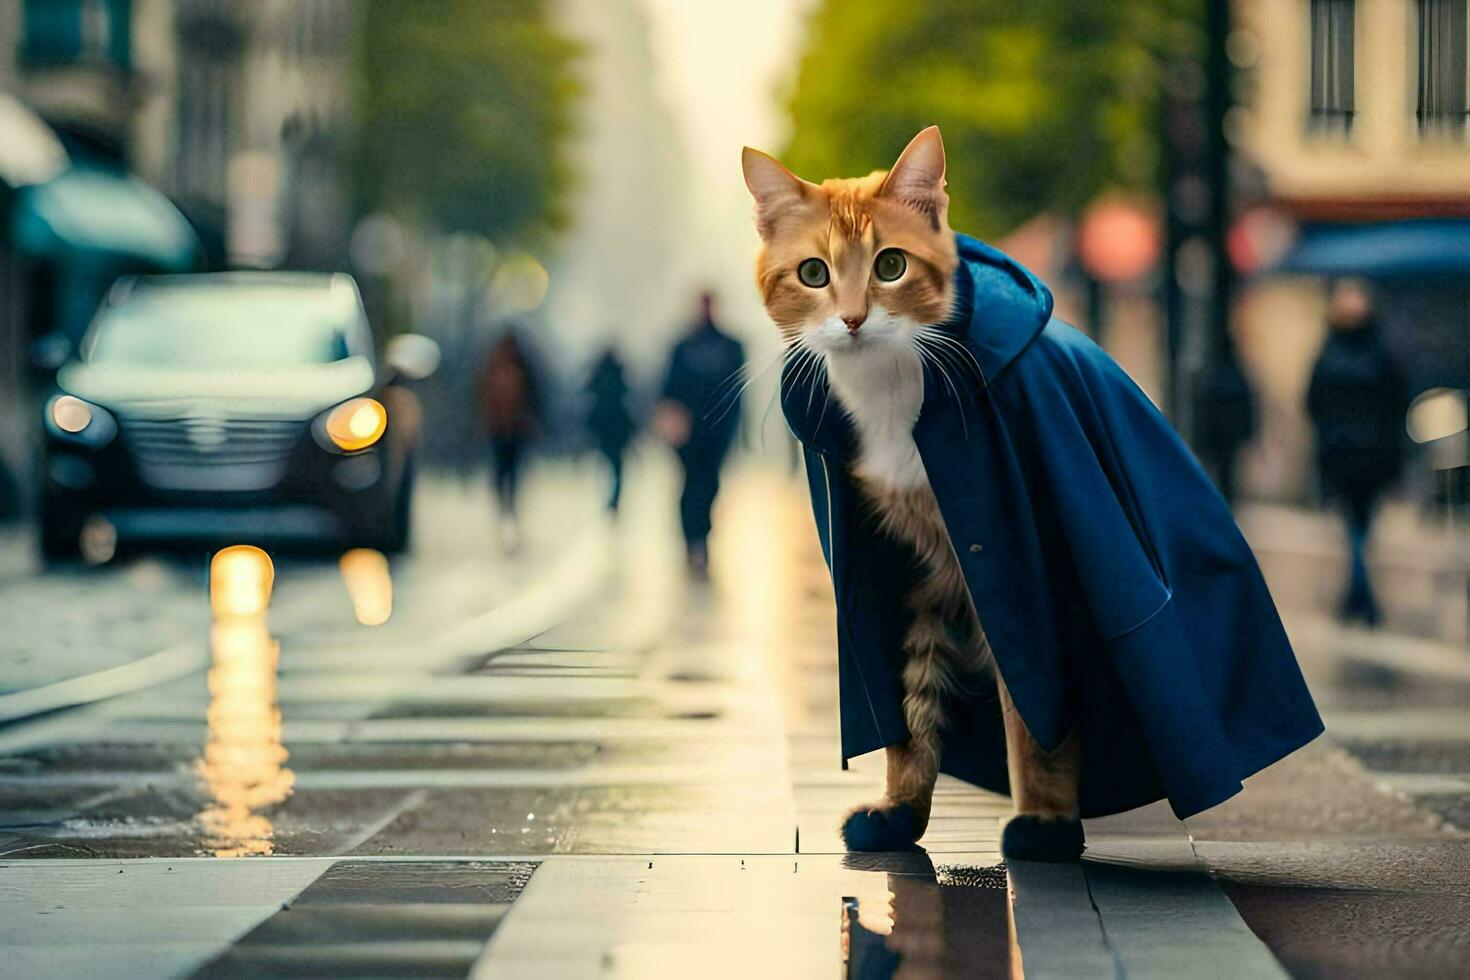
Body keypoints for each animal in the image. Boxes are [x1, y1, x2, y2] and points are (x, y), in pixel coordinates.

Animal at [746, 128, 1081, 852]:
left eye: (891, 265)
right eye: (813, 274)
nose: (852, 319)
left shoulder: (1014, 568)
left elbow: (1033, 700)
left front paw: (1045, 819)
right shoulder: (904, 567)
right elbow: (908, 706)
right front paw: (899, 810)